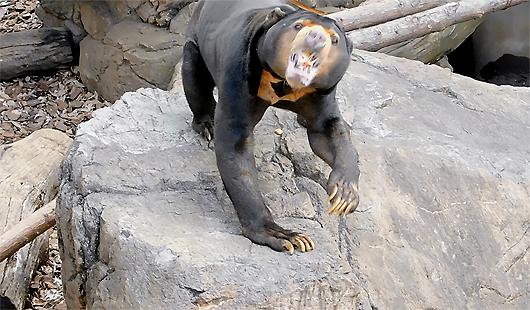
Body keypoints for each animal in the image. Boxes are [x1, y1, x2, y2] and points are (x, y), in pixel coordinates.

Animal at [182, 0, 358, 253]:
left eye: (334, 40)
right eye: (298, 26)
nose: (316, 37)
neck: (285, 83)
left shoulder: (322, 91)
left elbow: (328, 130)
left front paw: (344, 195)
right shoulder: (241, 68)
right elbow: (235, 143)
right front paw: (286, 236)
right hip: (196, 39)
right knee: (194, 72)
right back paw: (207, 123)